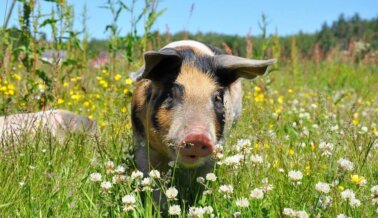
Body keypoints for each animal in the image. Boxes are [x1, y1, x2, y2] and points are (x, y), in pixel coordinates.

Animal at [131, 40, 274, 203]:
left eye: (218, 97)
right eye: (171, 94)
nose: (198, 137)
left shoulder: (215, 148)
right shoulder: (141, 144)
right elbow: (151, 180)